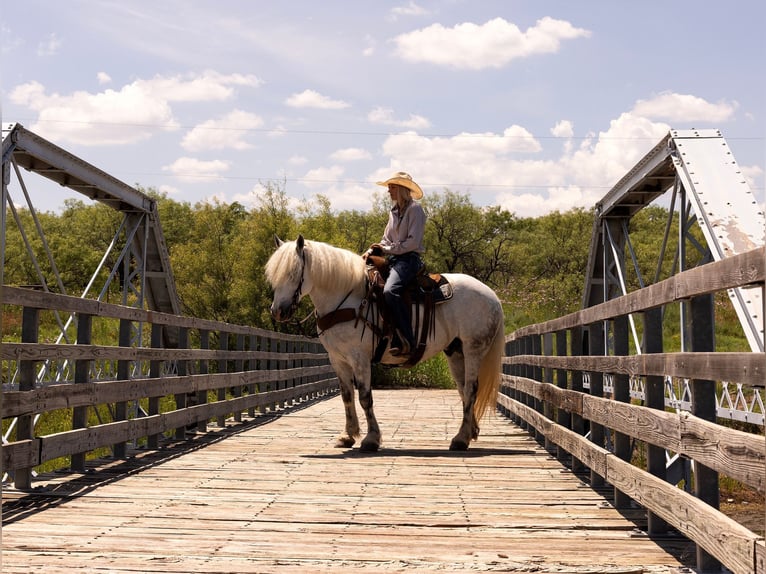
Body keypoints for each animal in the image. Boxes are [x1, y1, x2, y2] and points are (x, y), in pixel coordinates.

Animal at [268, 236, 508, 452]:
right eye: (273, 276)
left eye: (293, 273)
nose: (278, 311)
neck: (346, 299)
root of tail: (492, 296)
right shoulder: (337, 359)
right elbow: (347, 396)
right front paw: (347, 435)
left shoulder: (360, 357)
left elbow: (365, 397)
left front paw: (371, 439)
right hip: (456, 351)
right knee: (463, 389)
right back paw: (469, 433)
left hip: (474, 349)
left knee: (471, 388)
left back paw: (460, 439)